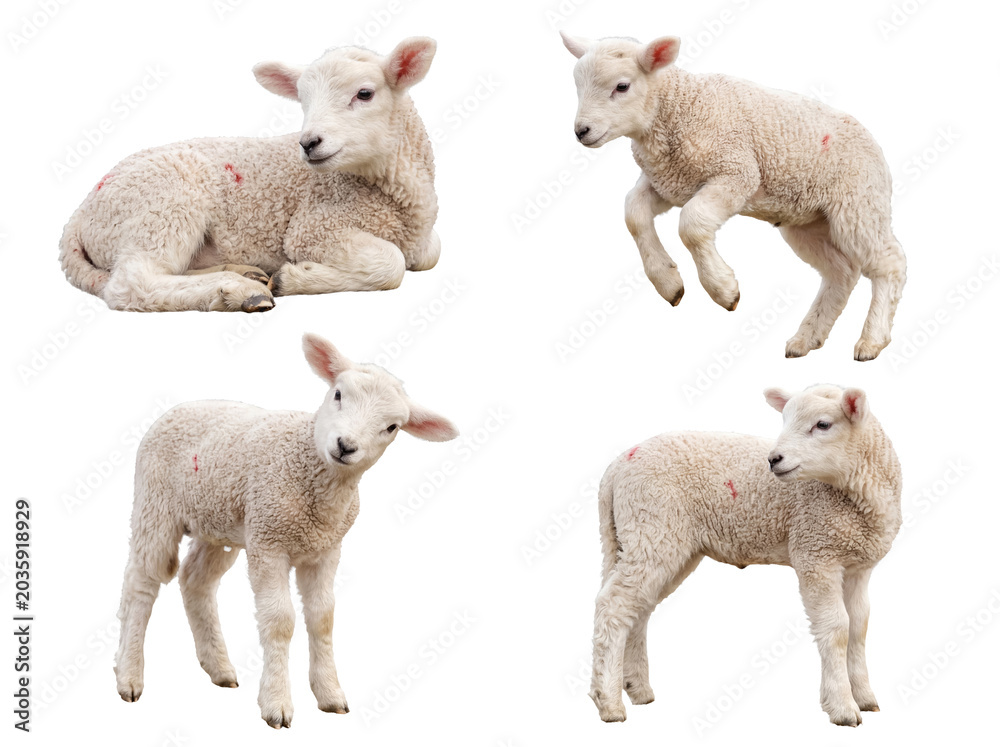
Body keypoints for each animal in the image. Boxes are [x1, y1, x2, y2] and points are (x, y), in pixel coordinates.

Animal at [60, 38, 441, 313]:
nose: (308, 143)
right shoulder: (314, 226)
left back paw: (245, 273)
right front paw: (293, 277)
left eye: (364, 94)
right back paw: (241, 291)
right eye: (303, 102)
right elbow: (391, 262)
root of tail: (78, 216)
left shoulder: (419, 237)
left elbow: (429, 254)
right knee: (132, 283)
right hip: (164, 201)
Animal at [113, 333, 458, 728]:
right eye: (337, 394)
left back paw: (219, 668)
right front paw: (276, 704)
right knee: (141, 581)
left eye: (392, 427)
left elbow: (323, 618)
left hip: (220, 522)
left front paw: (330, 694)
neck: (314, 473)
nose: (345, 446)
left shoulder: (325, 549)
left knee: (195, 581)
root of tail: (180, 407)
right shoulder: (269, 541)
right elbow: (280, 621)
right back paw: (129, 675)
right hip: (156, 503)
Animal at [561, 33, 906, 361]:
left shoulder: (736, 172)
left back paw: (871, 341)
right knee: (841, 273)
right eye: (577, 85)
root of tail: (877, 149)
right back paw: (806, 340)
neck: (679, 108)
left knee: (890, 263)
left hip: (858, 202)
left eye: (622, 86)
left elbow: (691, 224)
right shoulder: (671, 181)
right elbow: (633, 212)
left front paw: (724, 289)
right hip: (808, 221)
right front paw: (668, 283)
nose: (581, 131)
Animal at [590, 384, 902, 726]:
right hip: (651, 526)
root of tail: (616, 469)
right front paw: (843, 707)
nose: (774, 459)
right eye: (784, 419)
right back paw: (608, 702)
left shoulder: (858, 564)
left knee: (639, 608)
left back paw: (637, 688)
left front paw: (865, 697)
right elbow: (836, 629)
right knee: (613, 606)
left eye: (823, 424)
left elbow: (858, 627)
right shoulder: (815, 552)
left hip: (652, 541)